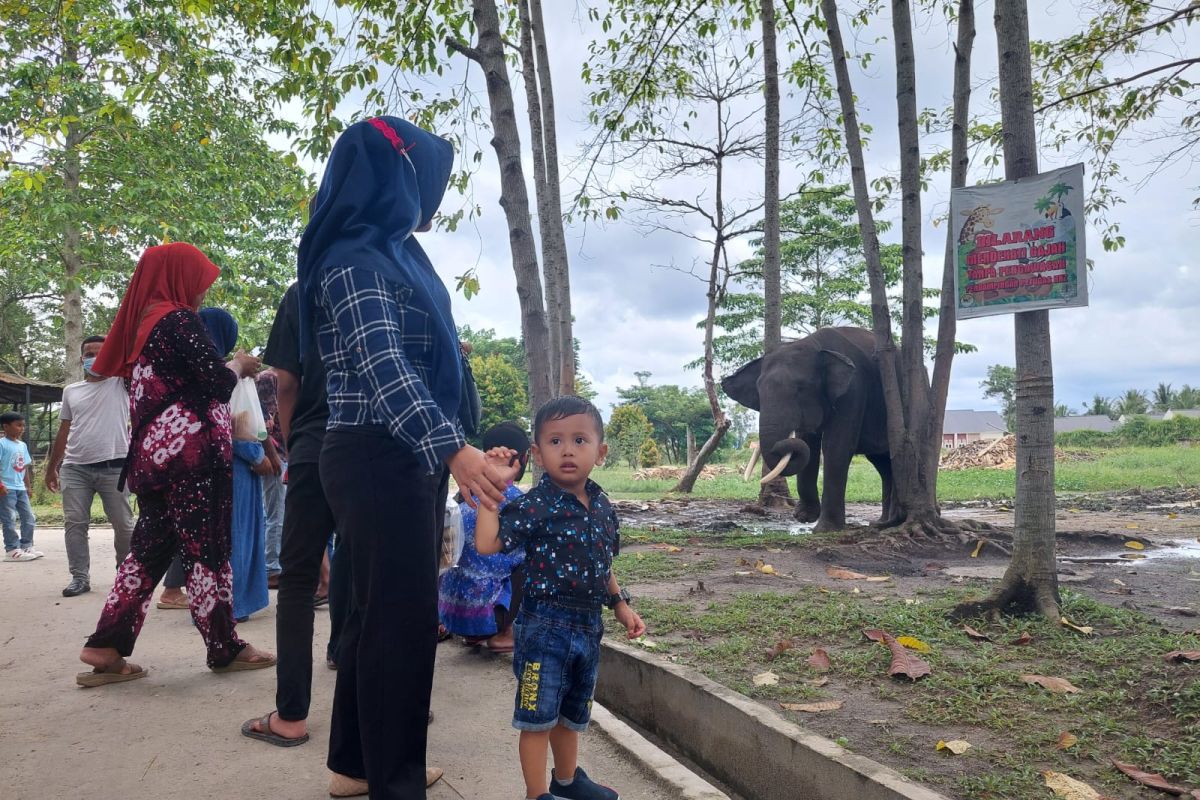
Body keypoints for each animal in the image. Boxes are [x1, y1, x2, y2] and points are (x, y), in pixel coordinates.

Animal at [720, 328, 892, 534]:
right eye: (759, 393)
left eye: (800, 389)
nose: (798, 516)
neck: (815, 344)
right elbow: (809, 443)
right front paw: (804, 517)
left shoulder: (853, 391)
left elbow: (835, 447)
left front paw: (824, 529)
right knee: (883, 463)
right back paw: (883, 523)